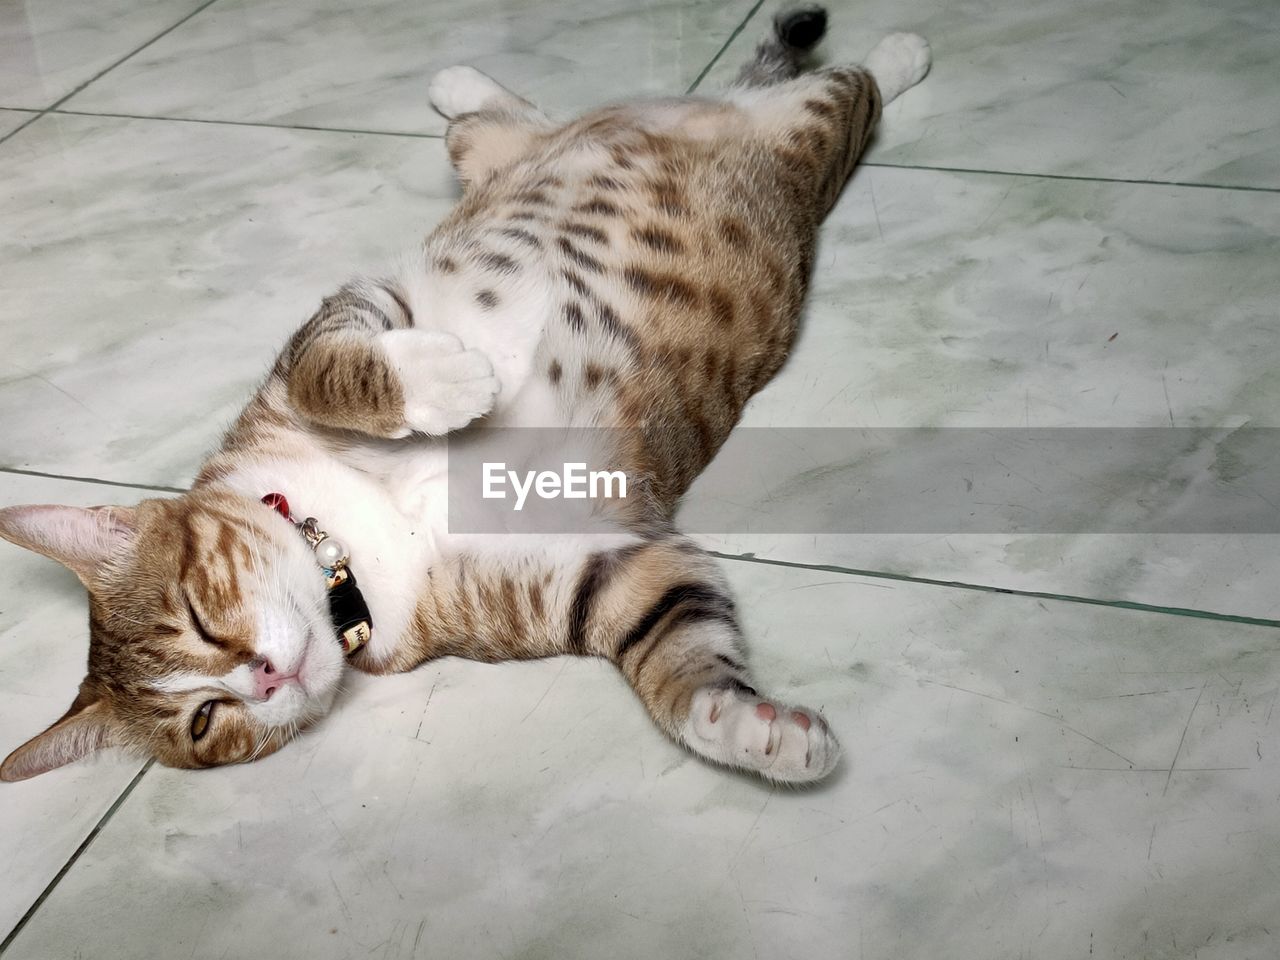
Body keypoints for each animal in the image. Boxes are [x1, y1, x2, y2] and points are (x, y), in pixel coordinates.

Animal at [0, 7, 926, 783]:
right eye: (205, 722)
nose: (265, 678)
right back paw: (461, 85)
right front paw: (749, 729)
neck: (350, 542)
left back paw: (904, 48)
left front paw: (444, 380)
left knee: (853, 84)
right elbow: (677, 641)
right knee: (514, 117)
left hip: (809, 133)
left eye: (196, 613)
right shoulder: (592, 569)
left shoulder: (347, 318)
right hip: (503, 150)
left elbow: (329, 367)